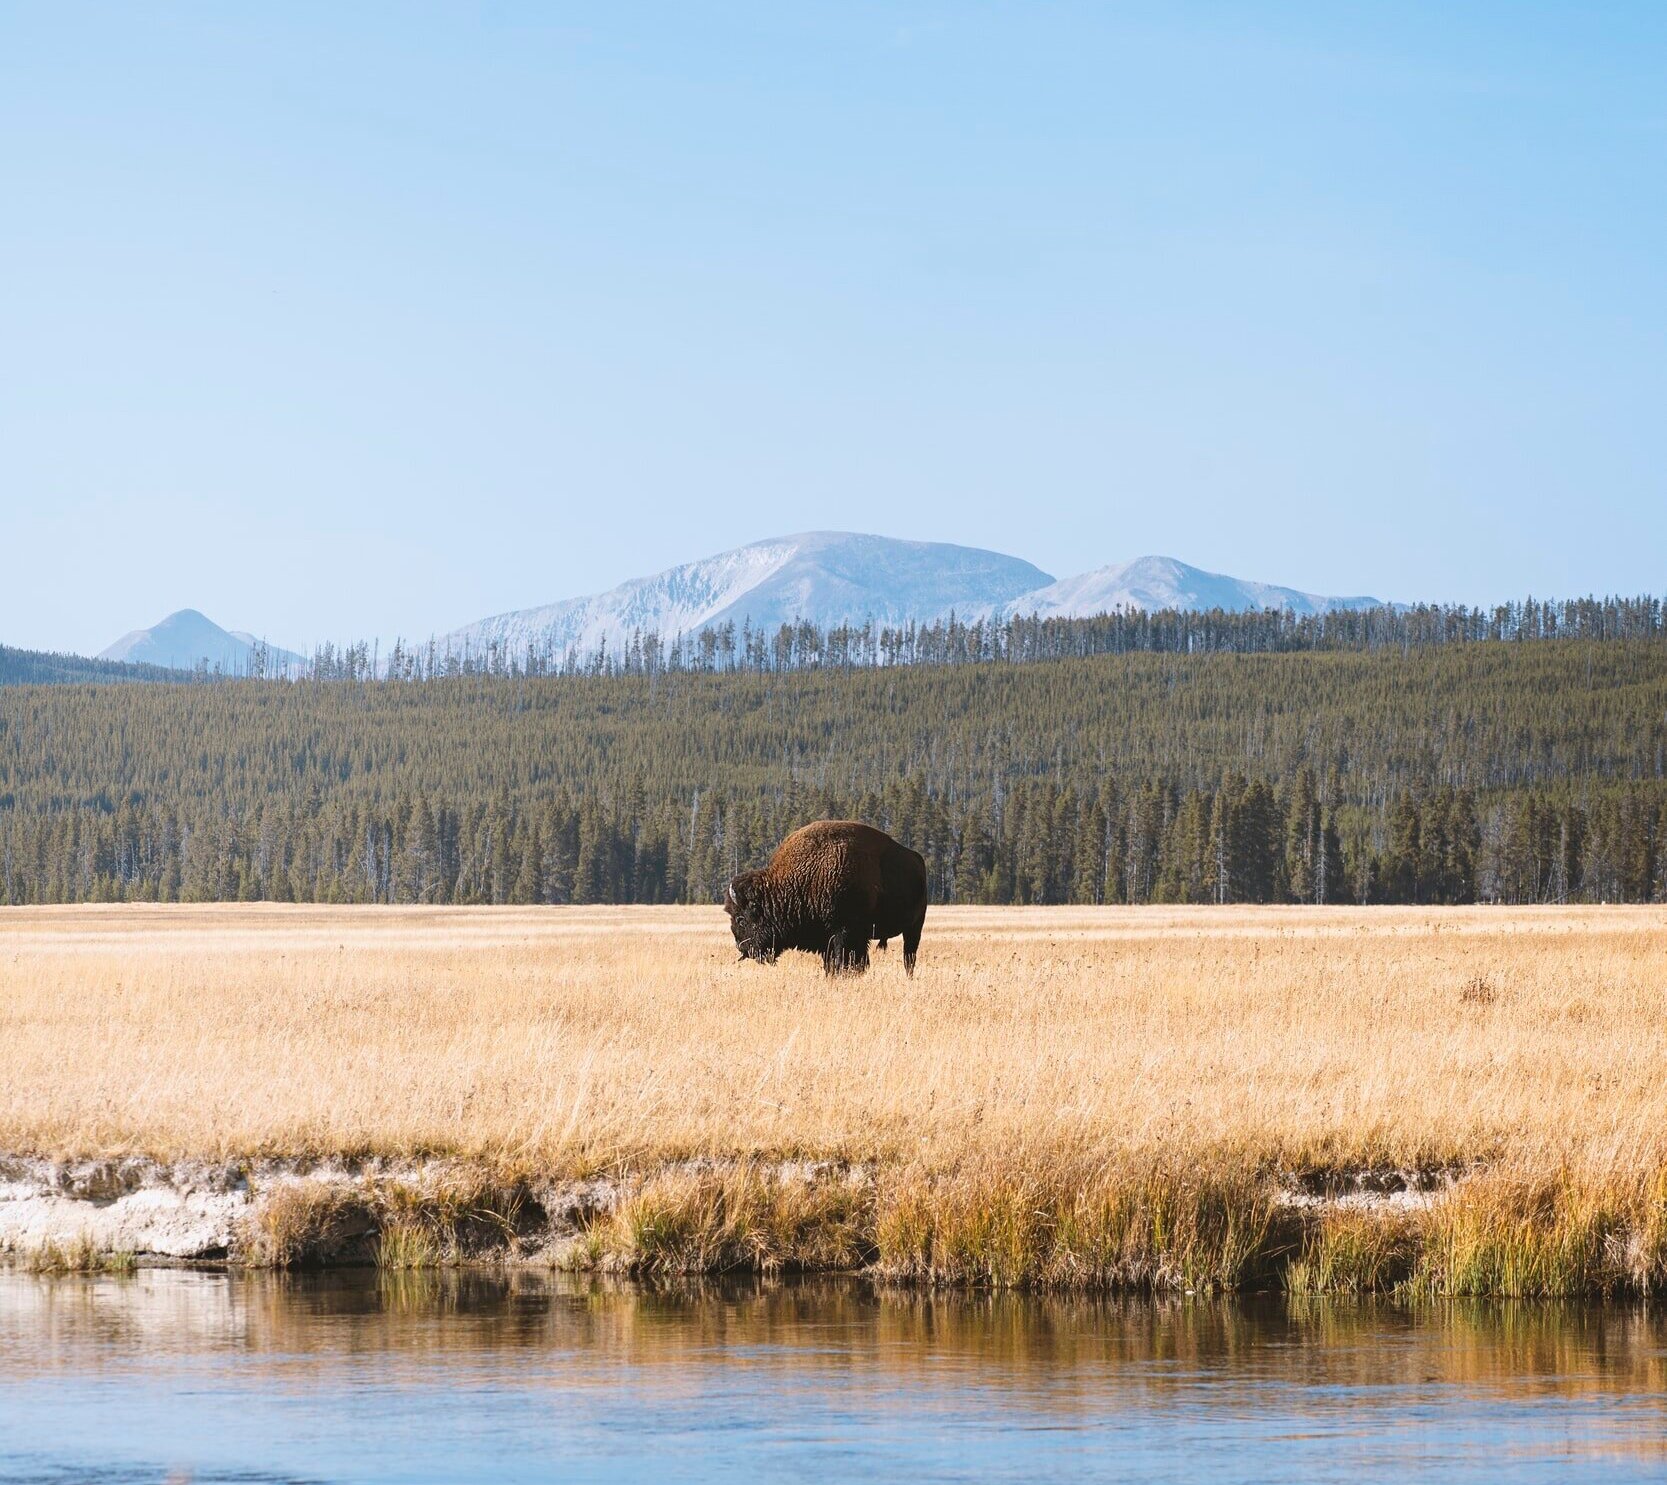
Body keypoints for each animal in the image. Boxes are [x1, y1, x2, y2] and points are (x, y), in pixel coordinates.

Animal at [724, 820, 927, 977]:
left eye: (741, 919)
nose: (741, 947)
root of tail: (917, 859)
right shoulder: (829, 939)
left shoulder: (844, 933)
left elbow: (843, 961)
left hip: (914, 927)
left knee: (909, 956)